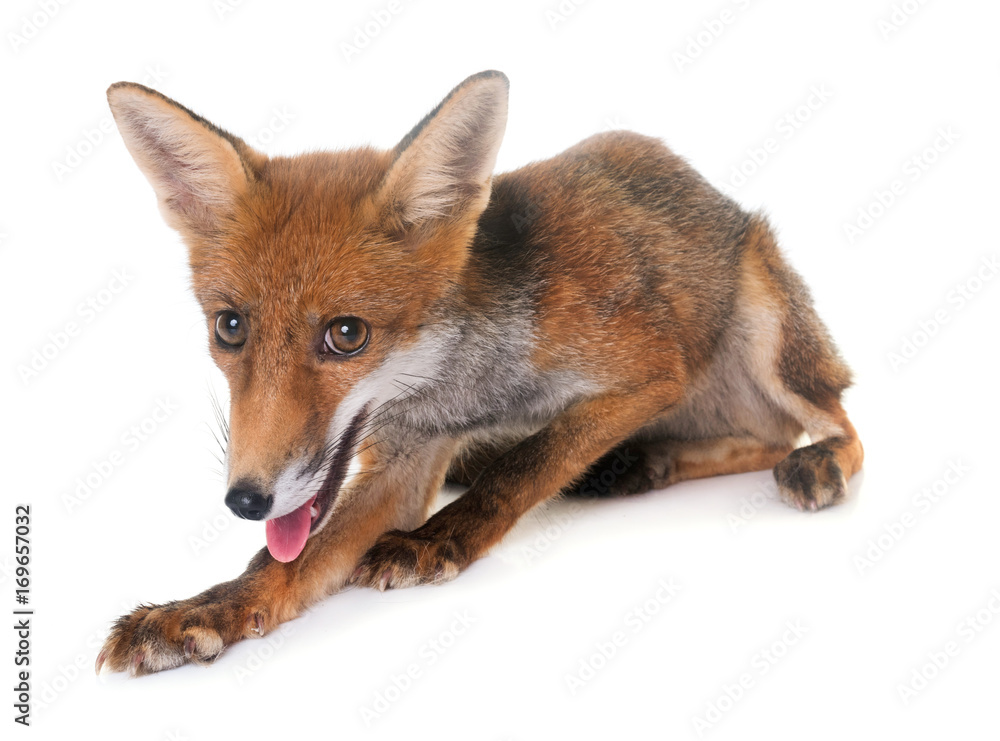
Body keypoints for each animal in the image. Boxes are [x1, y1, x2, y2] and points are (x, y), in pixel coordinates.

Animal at [96, 70, 862, 675]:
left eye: (346, 334)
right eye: (229, 328)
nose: (247, 500)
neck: (463, 390)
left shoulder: (649, 369)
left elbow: (526, 464)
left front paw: (438, 539)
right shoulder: (408, 455)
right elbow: (285, 565)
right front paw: (204, 610)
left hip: (770, 325)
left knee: (807, 430)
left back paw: (801, 460)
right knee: (759, 434)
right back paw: (643, 462)